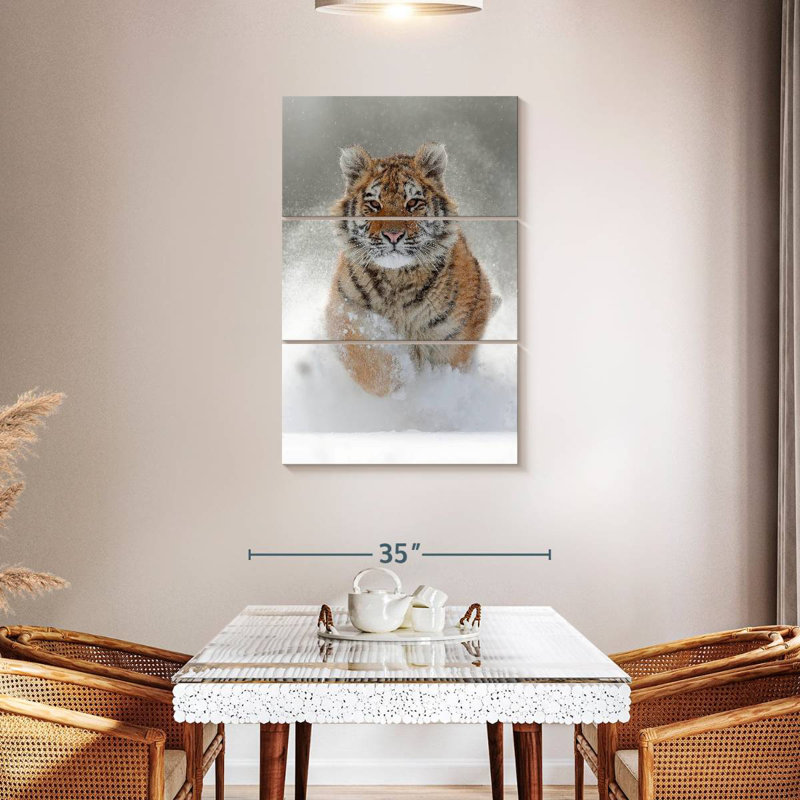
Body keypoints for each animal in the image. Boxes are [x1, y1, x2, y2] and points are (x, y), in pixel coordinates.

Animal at [326, 141, 495, 397]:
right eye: (374, 204)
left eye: (412, 203)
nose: (393, 235)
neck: (397, 279)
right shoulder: (345, 312)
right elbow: (370, 363)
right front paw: (399, 384)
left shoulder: (456, 332)